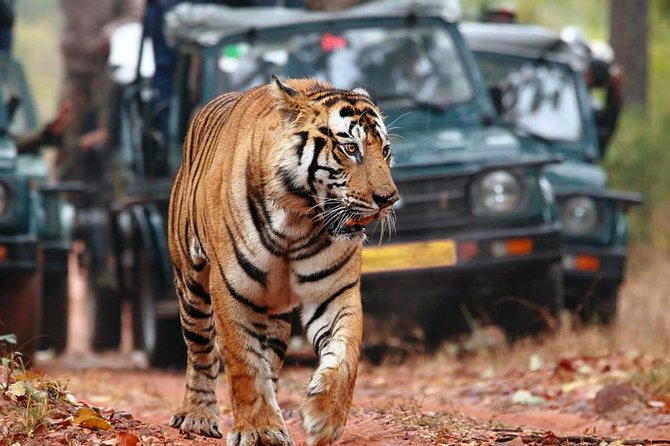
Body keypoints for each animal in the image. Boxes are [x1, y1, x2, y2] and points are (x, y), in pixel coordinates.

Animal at [167, 77, 398, 446]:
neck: (298, 221)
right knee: (200, 351)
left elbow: (345, 355)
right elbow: (243, 363)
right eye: (350, 149)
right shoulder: (232, 290)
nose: (389, 199)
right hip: (192, 286)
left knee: (270, 359)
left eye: (385, 150)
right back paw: (197, 417)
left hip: (273, 312)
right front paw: (258, 430)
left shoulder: (334, 292)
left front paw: (323, 420)